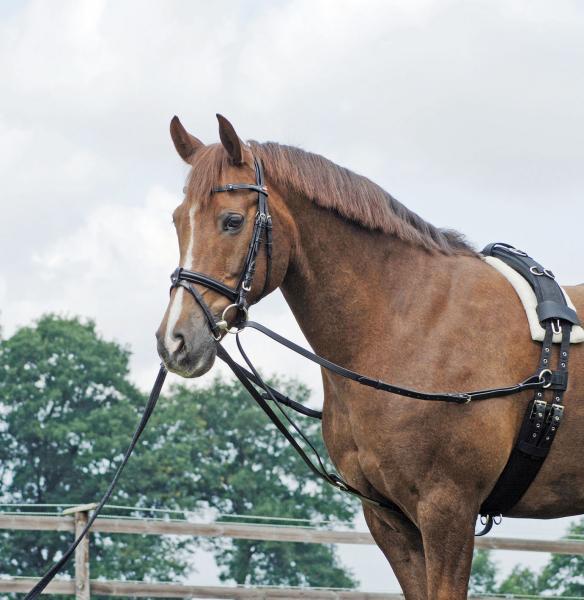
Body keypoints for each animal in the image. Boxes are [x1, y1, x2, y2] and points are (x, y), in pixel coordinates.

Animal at [155, 115, 584, 596]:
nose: (175, 340)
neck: (407, 323)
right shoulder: (388, 518)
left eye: (232, 221)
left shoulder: (448, 509)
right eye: (178, 221)